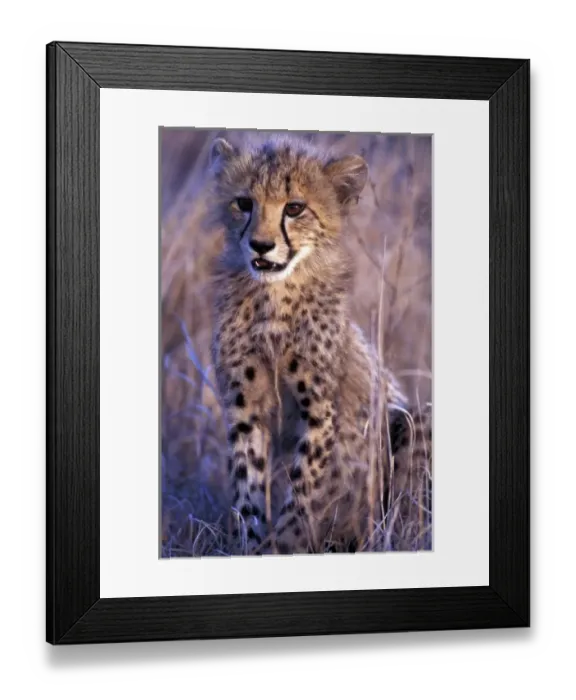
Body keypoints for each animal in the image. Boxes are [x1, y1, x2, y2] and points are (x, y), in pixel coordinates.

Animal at [207, 133, 429, 555]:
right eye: (244, 203)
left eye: (295, 208)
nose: (261, 245)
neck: (273, 297)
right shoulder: (245, 408)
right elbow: (248, 488)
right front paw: (253, 547)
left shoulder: (320, 409)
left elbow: (304, 491)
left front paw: (284, 546)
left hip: (414, 418)